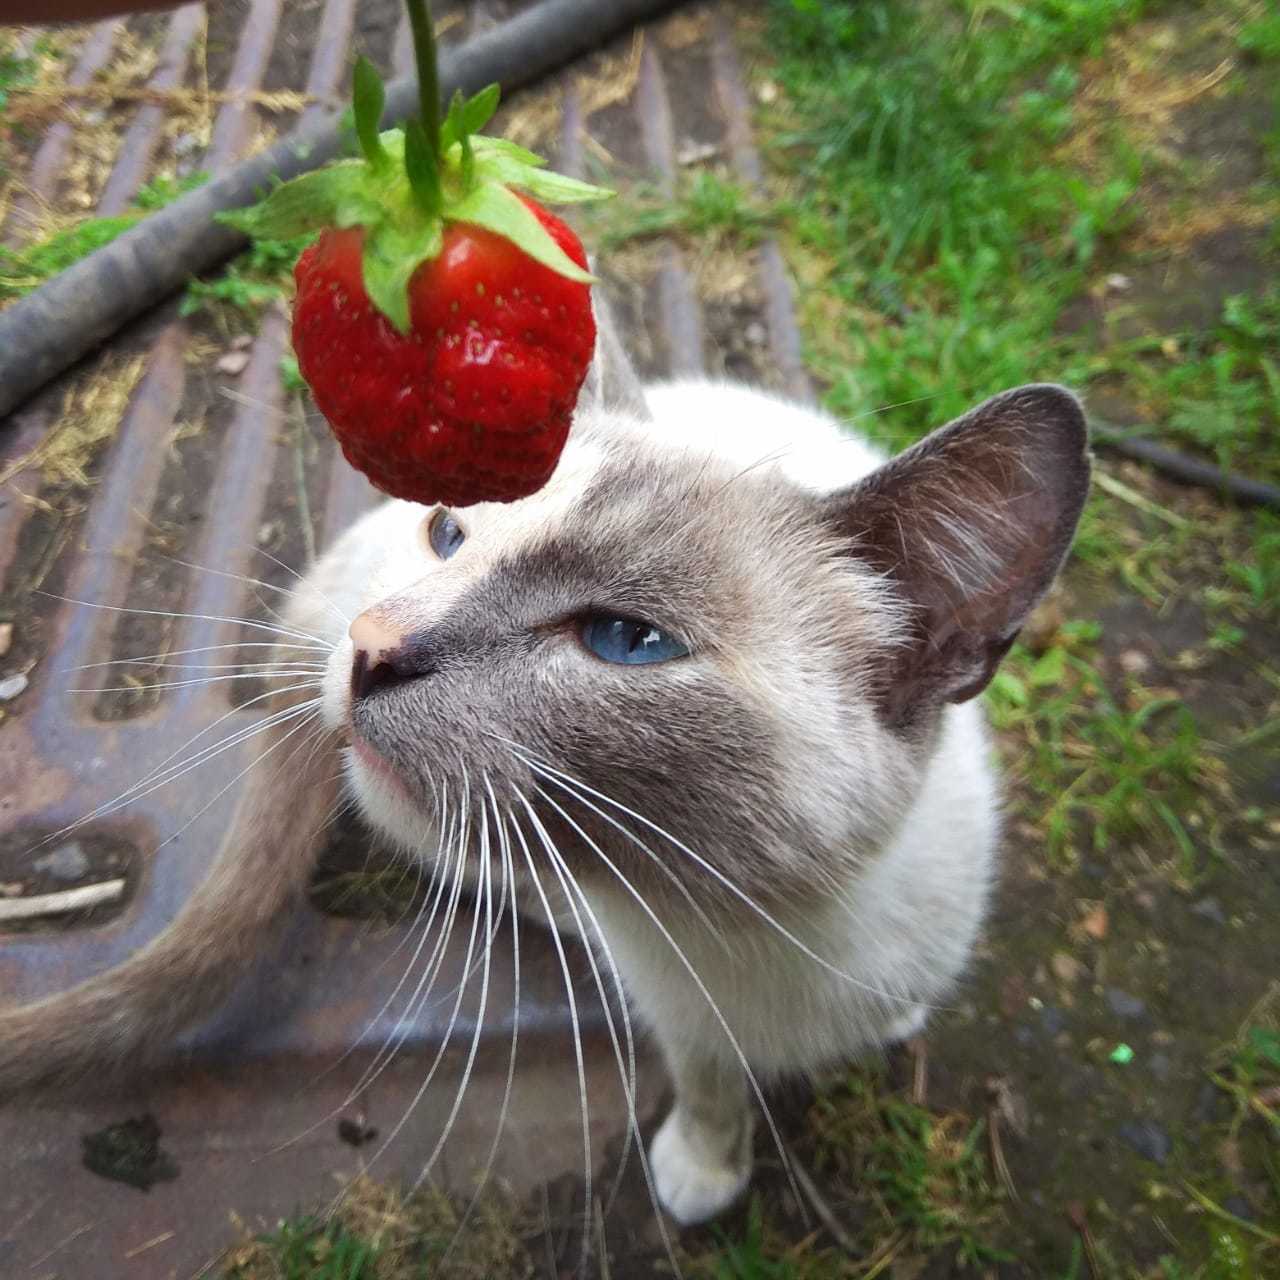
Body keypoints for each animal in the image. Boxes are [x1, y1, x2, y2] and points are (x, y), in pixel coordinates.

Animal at [0, 309, 1090, 1228]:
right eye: (448, 533)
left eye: (625, 640)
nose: (369, 649)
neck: (763, 928)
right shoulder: (688, 1026)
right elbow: (709, 1089)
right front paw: (703, 1173)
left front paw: (894, 1024)